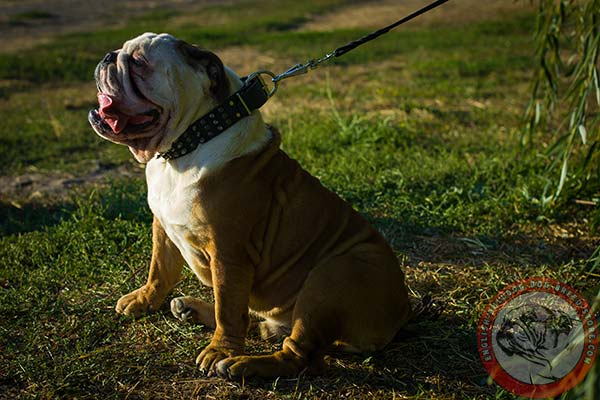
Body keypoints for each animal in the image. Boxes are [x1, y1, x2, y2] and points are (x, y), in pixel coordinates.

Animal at [89, 32, 410, 378]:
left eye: (139, 63)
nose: (108, 57)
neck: (195, 137)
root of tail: (401, 311)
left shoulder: (229, 254)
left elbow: (229, 309)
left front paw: (219, 350)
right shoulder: (162, 227)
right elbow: (159, 269)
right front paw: (145, 300)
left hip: (330, 277)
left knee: (297, 355)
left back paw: (240, 364)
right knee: (261, 326)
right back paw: (192, 310)